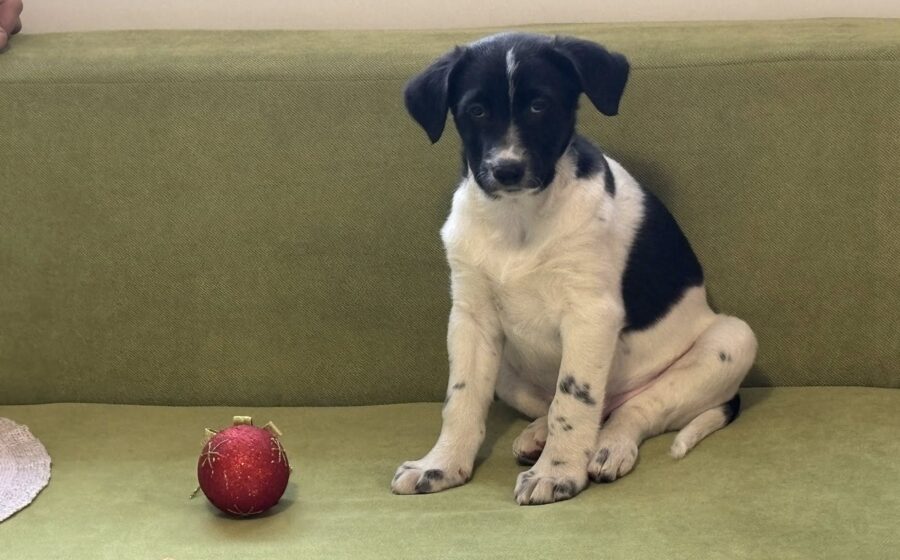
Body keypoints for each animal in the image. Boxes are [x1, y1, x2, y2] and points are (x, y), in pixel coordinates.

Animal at [391, 32, 757, 505]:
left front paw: (559, 472)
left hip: (732, 340)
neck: (518, 218)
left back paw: (607, 447)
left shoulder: (590, 314)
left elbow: (574, 398)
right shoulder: (471, 317)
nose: (506, 170)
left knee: (630, 411)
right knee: (568, 406)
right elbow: (462, 398)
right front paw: (441, 464)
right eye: (476, 110)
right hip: (506, 368)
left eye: (539, 105)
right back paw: (538, 434)